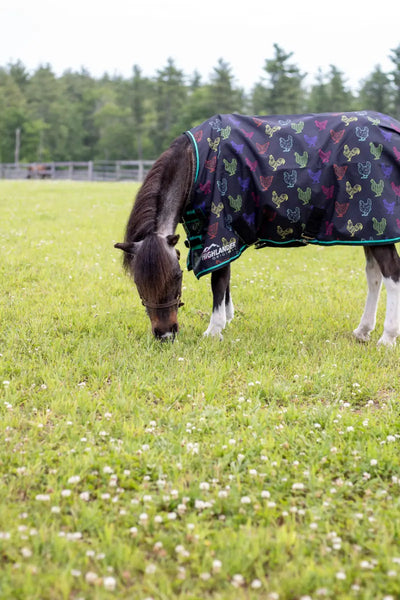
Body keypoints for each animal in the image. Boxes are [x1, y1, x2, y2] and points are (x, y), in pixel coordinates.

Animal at [115, 112, 400, 344]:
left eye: (176, 277)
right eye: (138, 282)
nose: (165, 334)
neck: (198, 162)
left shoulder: (219, 228)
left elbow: (218, 280)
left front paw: (214, 329)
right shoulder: (223, 232)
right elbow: (226, 276)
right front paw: (228, 318)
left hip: (378, 224)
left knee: (391, 275)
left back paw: (387, 337)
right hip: (369, 232)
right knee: (374, 276)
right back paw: (363, 330)